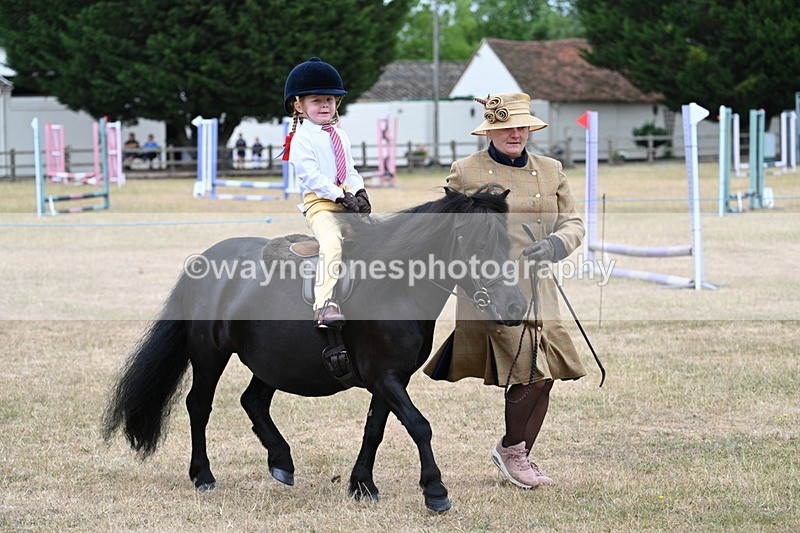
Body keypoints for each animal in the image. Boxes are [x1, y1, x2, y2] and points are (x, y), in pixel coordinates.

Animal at [102, 184, 527, 512]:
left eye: (507, 241)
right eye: (476, 243)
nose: (515, 308)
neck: (395, 289)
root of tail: (204, 261)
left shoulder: (390, 379)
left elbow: (374, 429)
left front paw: (362, 484)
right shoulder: (385, 377)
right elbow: (419, 426)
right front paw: (435, 491)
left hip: (272, 362)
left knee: (252, 401)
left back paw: (281, 461)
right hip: (209, 356)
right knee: (199, 407)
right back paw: (203, 475)